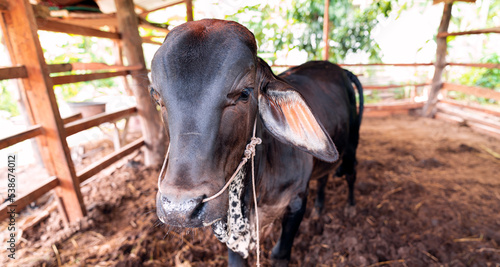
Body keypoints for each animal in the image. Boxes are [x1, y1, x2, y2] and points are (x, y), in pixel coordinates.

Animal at [148, 17, 364, 266]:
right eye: (156, 96)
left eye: (244, 93)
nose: (179, 208)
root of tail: (338, 69)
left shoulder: (297, 201)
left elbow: (280, 253)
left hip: (351, 144)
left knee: (351, 171)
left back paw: (350, 207)